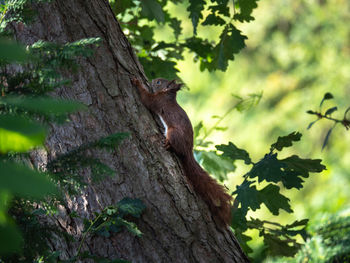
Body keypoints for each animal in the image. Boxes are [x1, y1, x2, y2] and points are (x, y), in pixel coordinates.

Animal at [131, 77, 232, 227]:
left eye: (159, 82)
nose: (152, 80)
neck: (168, 95)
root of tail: (188, 150)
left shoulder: (157, 101)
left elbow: (146, 99)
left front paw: (137, 82)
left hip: (173, 133)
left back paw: (168, 145)